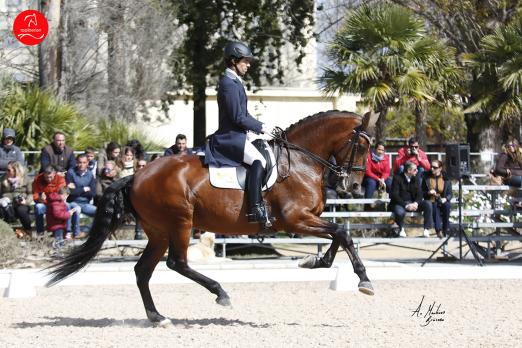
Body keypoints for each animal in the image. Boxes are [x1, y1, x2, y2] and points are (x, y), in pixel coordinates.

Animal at [46, 110, 374, 324]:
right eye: (361, 145)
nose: (355, 186)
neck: (303, 162)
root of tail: (136, 175)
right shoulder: (296, 219)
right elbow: (342, 234)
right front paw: (364, 281)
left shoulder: (309, 218)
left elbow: (340, 236)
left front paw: (315, 262)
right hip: (180, 223)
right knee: (176, 263)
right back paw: (220, 293)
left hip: (158, 231)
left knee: (143, 270)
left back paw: (157, 316)